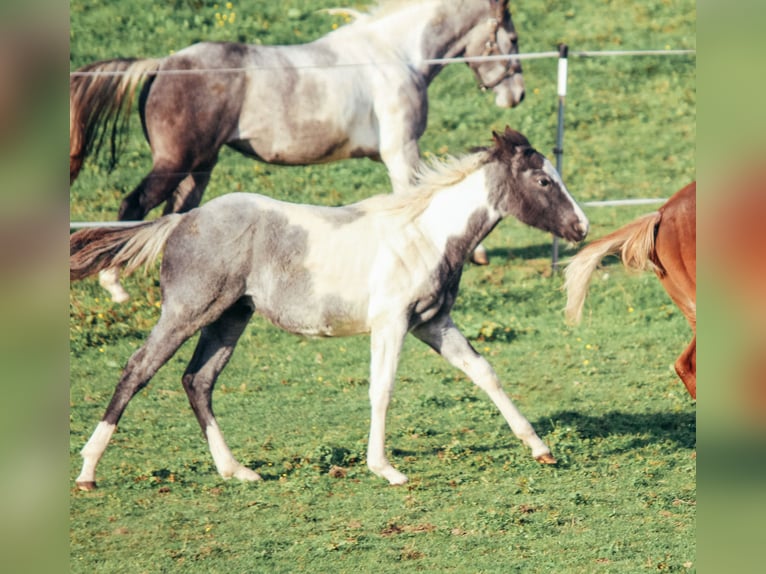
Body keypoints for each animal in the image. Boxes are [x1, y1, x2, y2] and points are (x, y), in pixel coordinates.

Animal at [69, 127, 589, 490]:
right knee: (138, 369)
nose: (582, 227)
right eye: (544, 180)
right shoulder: (391, 323)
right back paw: (88, 471)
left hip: (230, 316)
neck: (424, 236)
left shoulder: (433, 323)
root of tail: (182, 219)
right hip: (187, 310)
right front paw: (385, 469)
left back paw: (236, 470)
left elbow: (484, 372)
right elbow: (382, 390)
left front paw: (540, 448)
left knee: (198, 381)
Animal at [70, 0, 526, 301]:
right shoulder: (401, 150)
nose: (518, 95)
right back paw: (113, 284)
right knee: (132, 204)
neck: (396, 57)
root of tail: (162, 64)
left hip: (200, 167)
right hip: (174, 163)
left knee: (176, 213)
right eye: (512, 37)